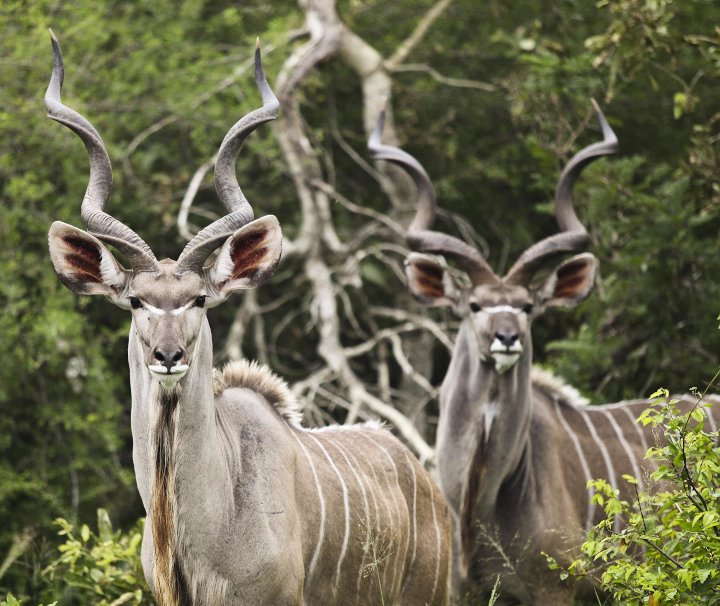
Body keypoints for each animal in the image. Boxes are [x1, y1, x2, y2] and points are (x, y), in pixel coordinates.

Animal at [368, 107, 716, 604]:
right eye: (474, 305)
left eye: (528, 306)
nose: (507, 337)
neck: (482, 498)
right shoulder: (465, 590)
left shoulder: (558, 586)